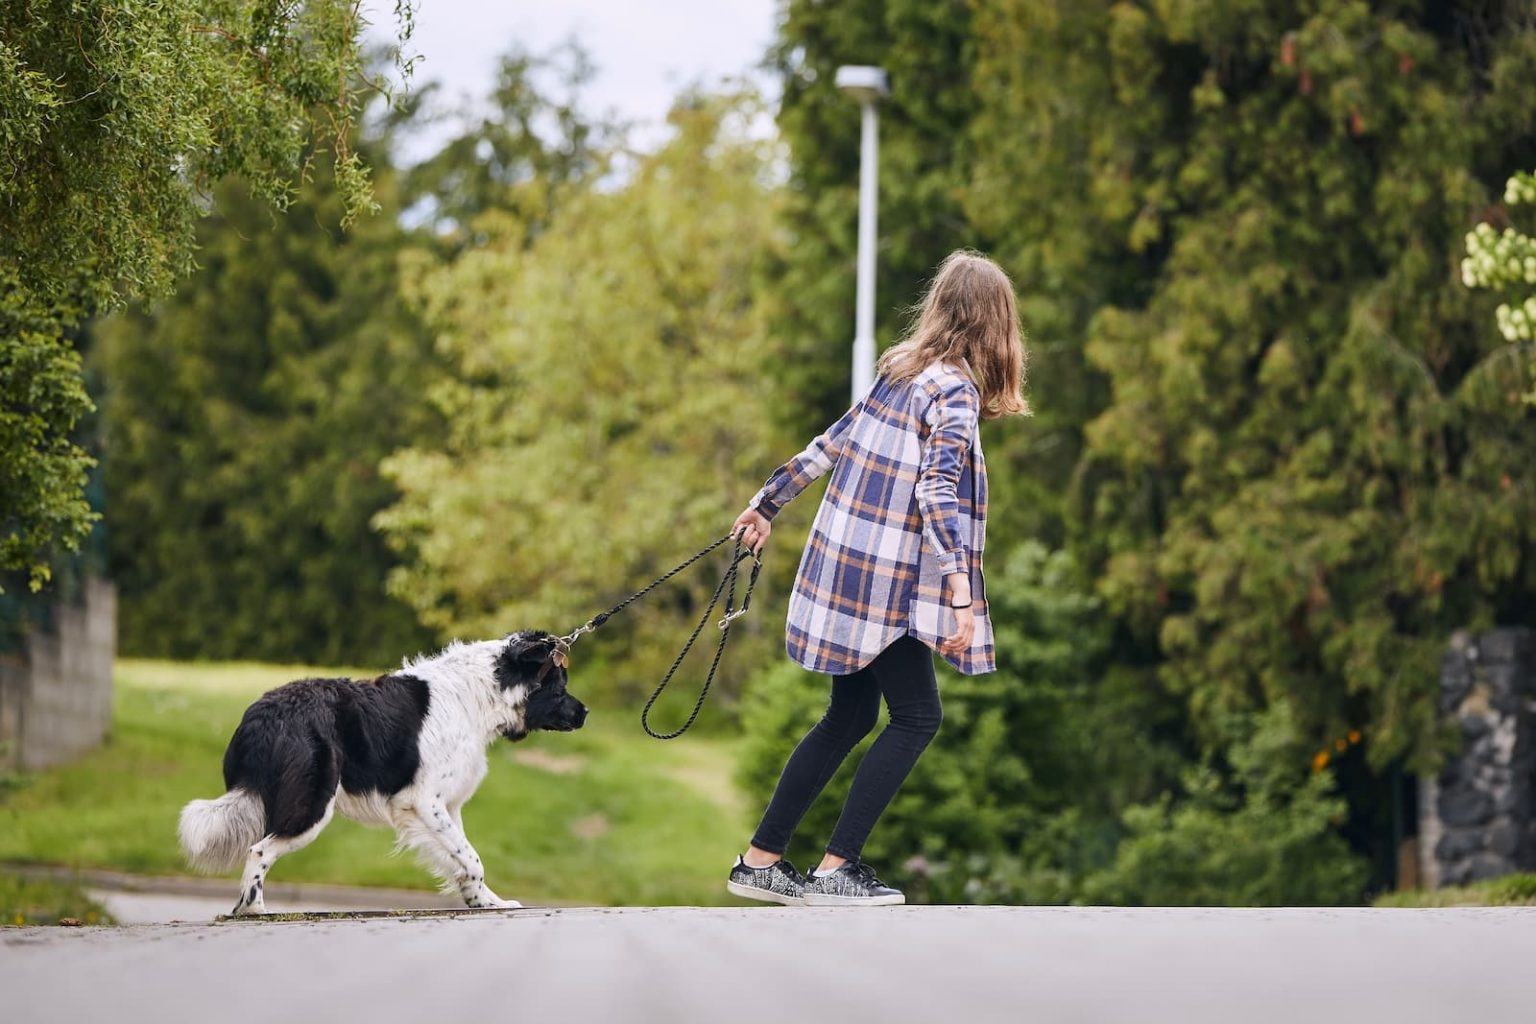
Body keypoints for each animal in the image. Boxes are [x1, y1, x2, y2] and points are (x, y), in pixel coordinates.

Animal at [179, 632, 583, 914]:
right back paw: (254, 909)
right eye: (560, 687)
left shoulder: (446, 807)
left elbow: (464, 857)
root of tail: (260, 713)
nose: (586, 712)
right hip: (313, 804)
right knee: (259, 849)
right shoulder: (423, 802)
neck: (479, 696)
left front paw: (484, 902)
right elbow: (472, 858)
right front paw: (484, 900)